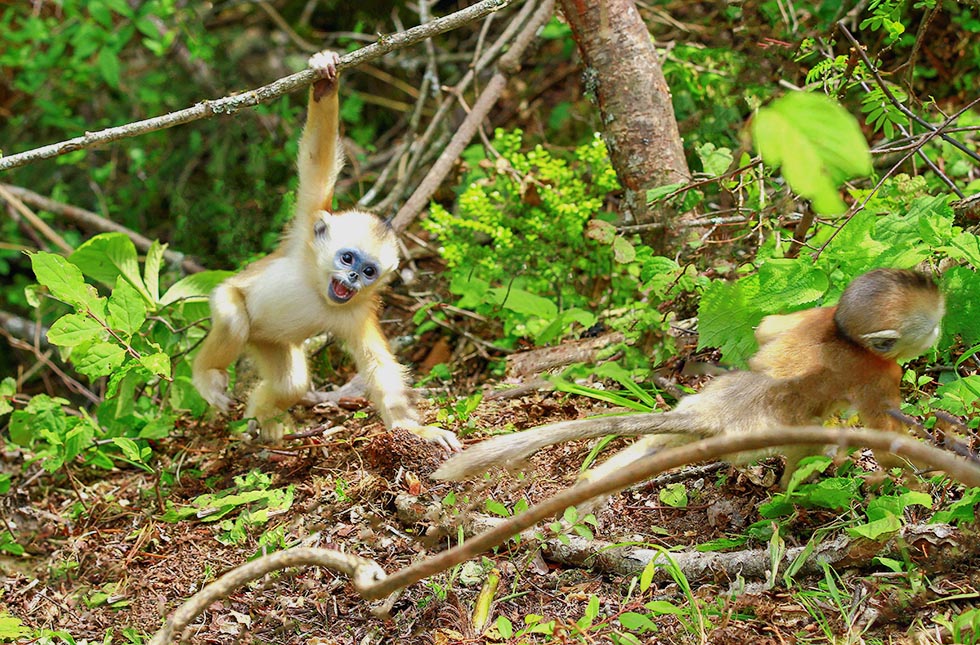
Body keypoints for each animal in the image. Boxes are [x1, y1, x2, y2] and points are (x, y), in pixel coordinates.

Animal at [196, 50, 468, 450]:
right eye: (347, 257)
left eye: (369, 271)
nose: (352, 277)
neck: (317, 287)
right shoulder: (305, 231)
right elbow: (316, 158)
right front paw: (325, 79)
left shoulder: (355, 313)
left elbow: (379, 368)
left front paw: (418, 431)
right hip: (229, 298)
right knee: (233, 320)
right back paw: (206, 374)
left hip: (270, 342)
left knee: (290, 383)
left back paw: (265, 419)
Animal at [434, 266, 940, 488]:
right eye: (932, 324)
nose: (939, 335)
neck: (845, 335)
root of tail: (720, 408)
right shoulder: (882, 372)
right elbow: (887, 446)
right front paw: (924, 481)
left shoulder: (819, 312)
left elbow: (766, 329)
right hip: (761, 431)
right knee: (809, 445)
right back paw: (790, 492)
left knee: (653, 443)